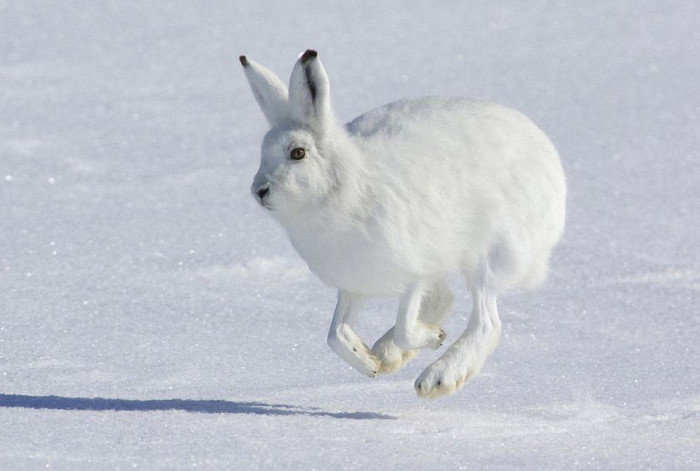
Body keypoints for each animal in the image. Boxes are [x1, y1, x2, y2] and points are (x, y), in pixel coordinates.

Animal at [239, 50, 566, 399]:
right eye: (263, 152)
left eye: (298, 153)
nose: (259, 190)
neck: (343, 187)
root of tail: (550, 161)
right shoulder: (353, 284)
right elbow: (335, 334)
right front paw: (370, 363)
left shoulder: (415, 268)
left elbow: (406, 327)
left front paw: (432, 339)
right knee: (445, 300)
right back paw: (387, 354)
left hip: (486, 254)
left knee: (486, 322)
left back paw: (438, 378)